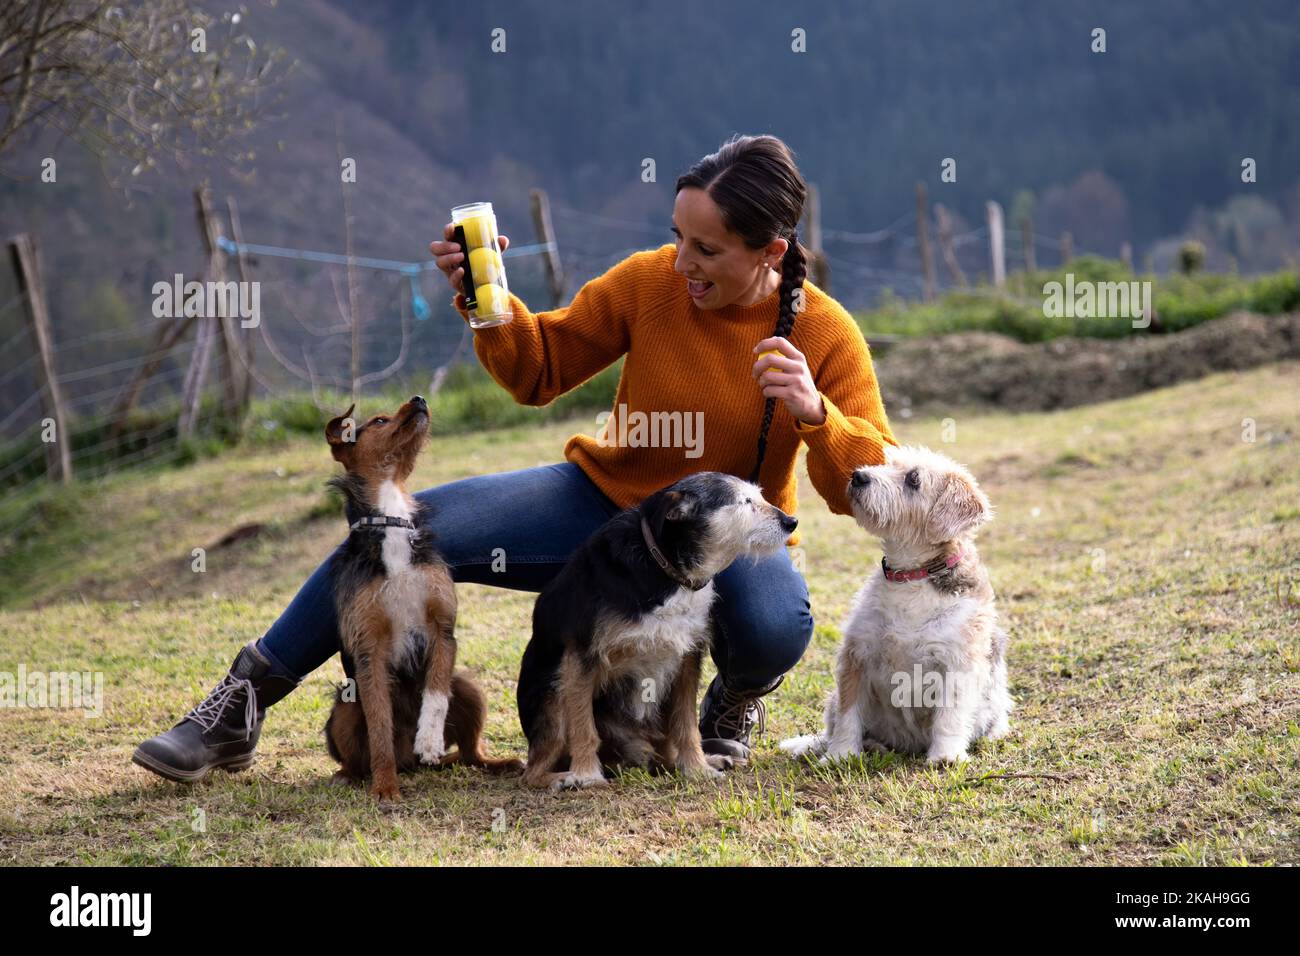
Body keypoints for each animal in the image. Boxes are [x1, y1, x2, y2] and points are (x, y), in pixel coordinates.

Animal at [514, 473, 790, 790]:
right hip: (553, 693)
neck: (668, 570)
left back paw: (708, 759)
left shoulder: (687, 659)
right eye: (745, 502)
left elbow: (686, 724)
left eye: (760, 496)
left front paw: (697, 768)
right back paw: (562, 778)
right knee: (531, 772)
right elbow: (584, 726)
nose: (791, 522)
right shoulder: (582, 655)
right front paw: (587, 775)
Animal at [774, 444, 1008, 764]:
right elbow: (848, 715)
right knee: (833, 727)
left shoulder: (957, 663)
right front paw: (840, 755)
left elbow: (950, 715)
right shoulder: (857, 656)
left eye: (913, 479)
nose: (859, 476)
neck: (910, 577)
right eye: (886, 463)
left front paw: (945, 755)